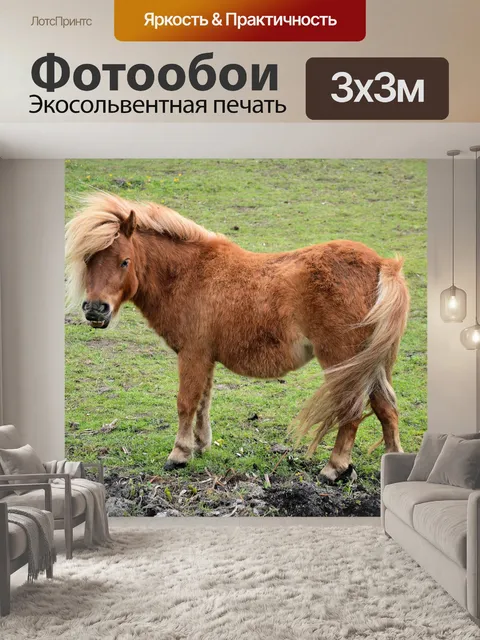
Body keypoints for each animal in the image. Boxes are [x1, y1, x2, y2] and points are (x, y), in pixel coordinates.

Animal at [65, 192, 410, 482]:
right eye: (88, 260)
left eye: (124, 261)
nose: (95, 310)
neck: (190, 274)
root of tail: (382, 265)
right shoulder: (205, 357)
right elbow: (203, 402)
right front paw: (200, 445)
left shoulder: (192, 354)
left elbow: (186, 402)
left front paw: (179, 454)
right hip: (372, 364)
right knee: (386, 409)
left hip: (343, 362)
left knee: (352, 412)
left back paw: (334, 468)